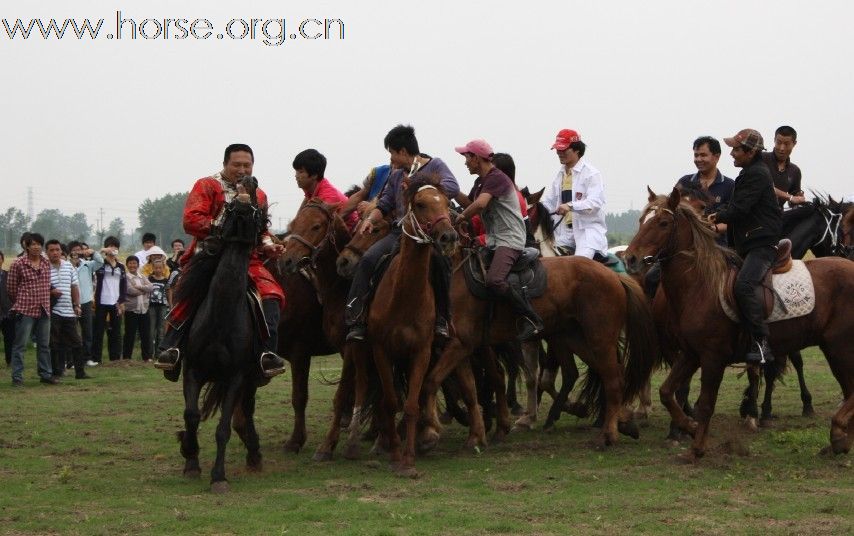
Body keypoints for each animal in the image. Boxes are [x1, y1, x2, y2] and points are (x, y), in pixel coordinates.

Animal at [172, 175, 270, 490]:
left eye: (256, 206)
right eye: (228, 206)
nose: (249, 180)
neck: (220, 318)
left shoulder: (235, 377)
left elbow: (223, 428)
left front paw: (218, 476)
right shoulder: (193, 370)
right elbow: (191, 415)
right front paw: (189, 455)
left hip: (250, 378)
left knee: (245, 412)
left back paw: (254, 453)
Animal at [620, 186, 854, 458]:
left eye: (663, 223)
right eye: (641, 221)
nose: (631, 259)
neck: (701, 285)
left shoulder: (712, 356)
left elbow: (706, 402)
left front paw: (699, 444)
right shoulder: (690, 353)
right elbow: (667, 392)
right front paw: (689, 426)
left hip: (839, 347)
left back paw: (838, 432)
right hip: (836, 348)